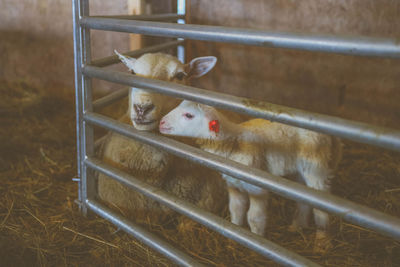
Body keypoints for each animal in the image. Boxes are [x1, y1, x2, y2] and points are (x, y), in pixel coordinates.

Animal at [158, 100, 342, 251]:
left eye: (189, 115)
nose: (161, 123)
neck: (233, 143)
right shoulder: (233, 185)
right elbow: (236, 211)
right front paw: (233, 241)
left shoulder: (256, 187)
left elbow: (254, 217)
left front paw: (256, 245)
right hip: (299, 171)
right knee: (304, 199)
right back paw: (297, 226)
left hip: (316, 167)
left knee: (321, 205)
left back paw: (322, 242)